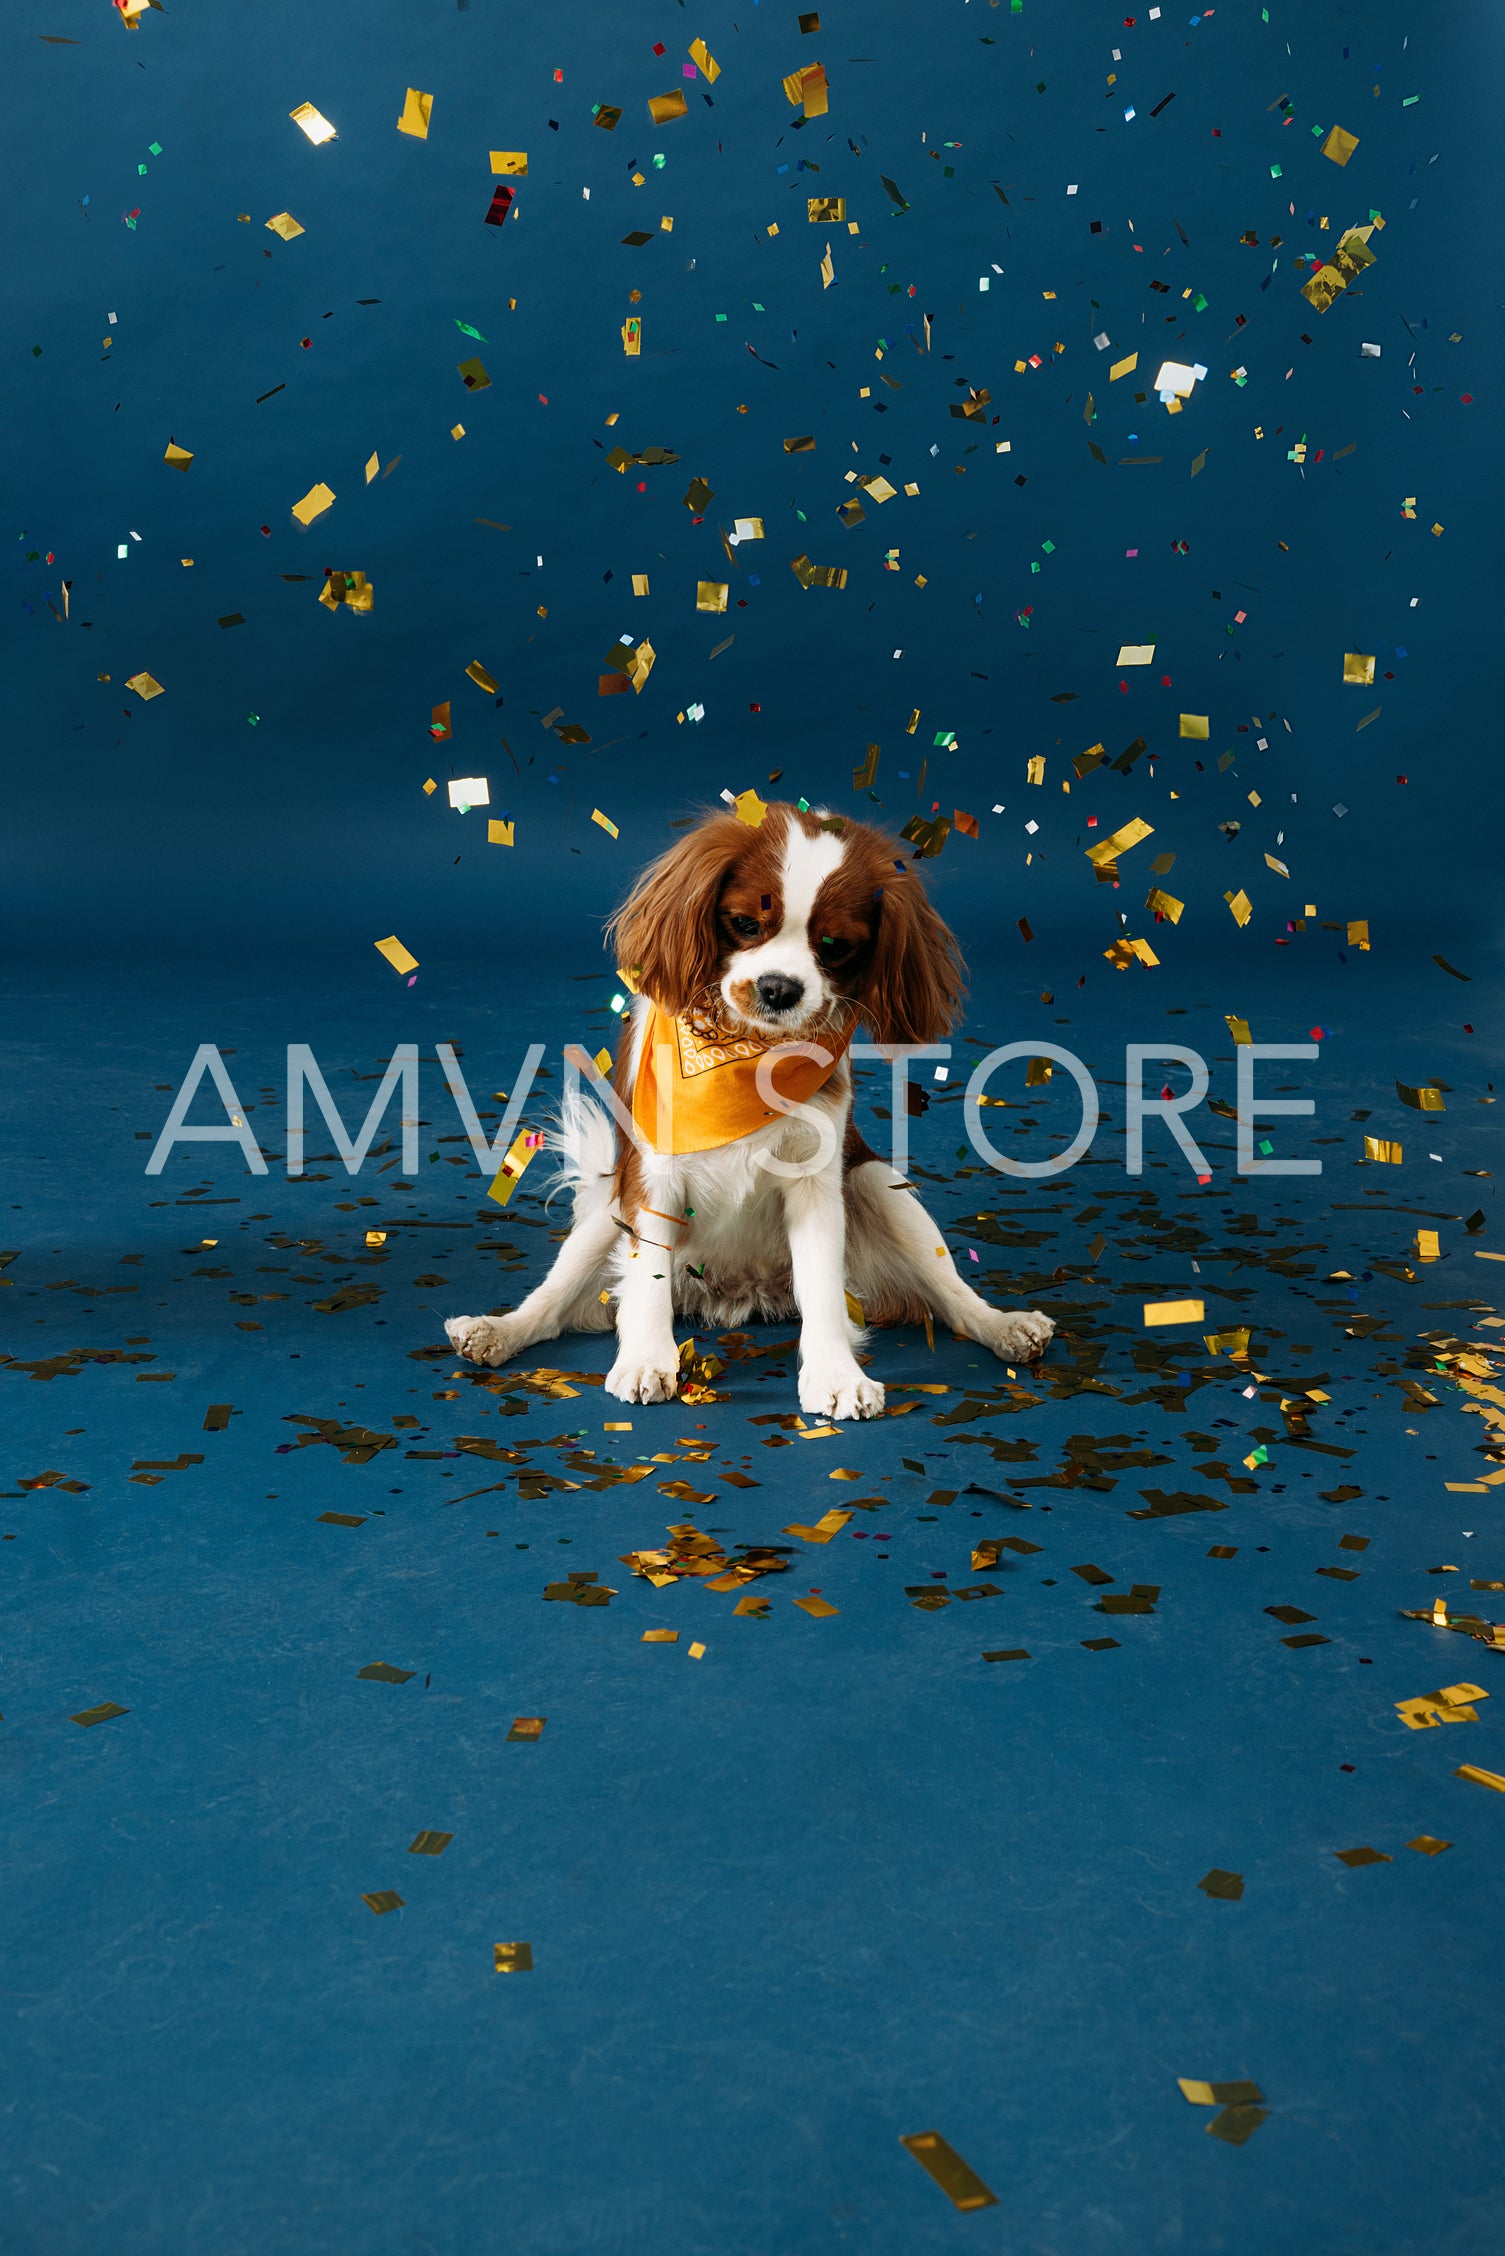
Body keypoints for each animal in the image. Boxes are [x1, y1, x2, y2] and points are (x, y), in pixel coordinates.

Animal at [444, 803, 1060, 1416]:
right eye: (744, 924)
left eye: (835, 945)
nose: (778, 988)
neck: (742, 1053)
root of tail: (741, 1293)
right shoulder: (651, 1177)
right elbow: (646, 1282)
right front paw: (646, 1361)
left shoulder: (817, 1180)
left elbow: (822, 1287)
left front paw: (835, 1376)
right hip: (604, 1217)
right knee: (555, 1307)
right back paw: (497, 1332)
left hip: (876, 1184)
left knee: (950, 1300)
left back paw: (1004, 1325)